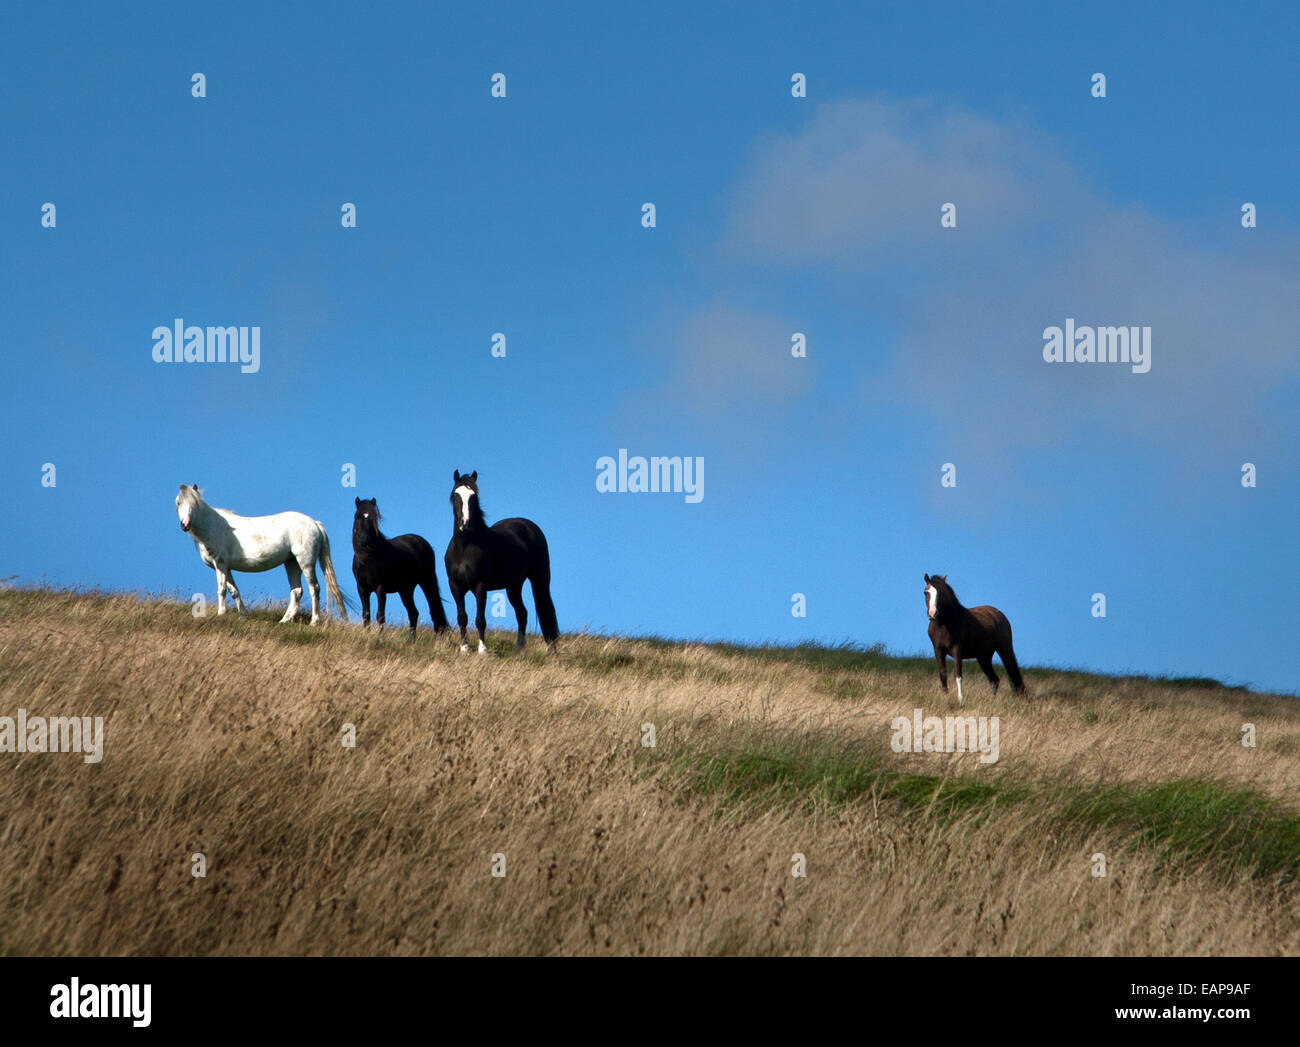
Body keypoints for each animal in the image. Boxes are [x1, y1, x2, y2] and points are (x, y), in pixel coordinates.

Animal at [179, 486, 351, 624]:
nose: (185, 524)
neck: (213, 525)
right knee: (296, 591)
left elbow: (222, 589)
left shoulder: (220, 563)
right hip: (291, 563)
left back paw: (314, 621)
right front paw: (243, 615)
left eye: (194, 504)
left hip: (305, 562)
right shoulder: (225, 567)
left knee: (314, 588)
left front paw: (221, 613)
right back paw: (284, 620)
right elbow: (234, 590)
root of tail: (315, 523)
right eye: (178, 503)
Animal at [351, 496, 452, 637]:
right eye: (357, 516)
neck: (368, 560)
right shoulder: (362, 589)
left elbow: (380, 616)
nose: (364, 540)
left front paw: (379, 638)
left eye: (374, 518)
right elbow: (366, 615)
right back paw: (411, 640)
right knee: (413, 613)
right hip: (405, 589)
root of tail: (420, 541)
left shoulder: (380, 588)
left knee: (433, 610)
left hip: (426, 582)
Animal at [444, 470, 556, 652]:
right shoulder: (455, 585)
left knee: (544, 609)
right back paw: (519, 648)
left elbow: (480, 619)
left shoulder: (481, 585)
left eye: (474, 497)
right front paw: (465, 648)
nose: (465, 524)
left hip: (539, 579)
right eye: (455, 495)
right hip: (514, 585)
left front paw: (482, 650)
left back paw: (550, 648)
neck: (464, 547)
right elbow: (462, 617)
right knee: (522, 613)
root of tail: (529, 526)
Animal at [925, 572, 1024, 702]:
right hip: (983, 657)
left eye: (941, 594)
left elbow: (958, 675)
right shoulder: (938, 650)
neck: (944, 625)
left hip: (1004, 649)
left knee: (1010, 674)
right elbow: (943, 675)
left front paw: (960, 699)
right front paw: (945, 697)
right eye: (926, 592)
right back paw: (992, 700)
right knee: (994, 680)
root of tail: (998, 614)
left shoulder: (957, 650)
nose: (932, 614)